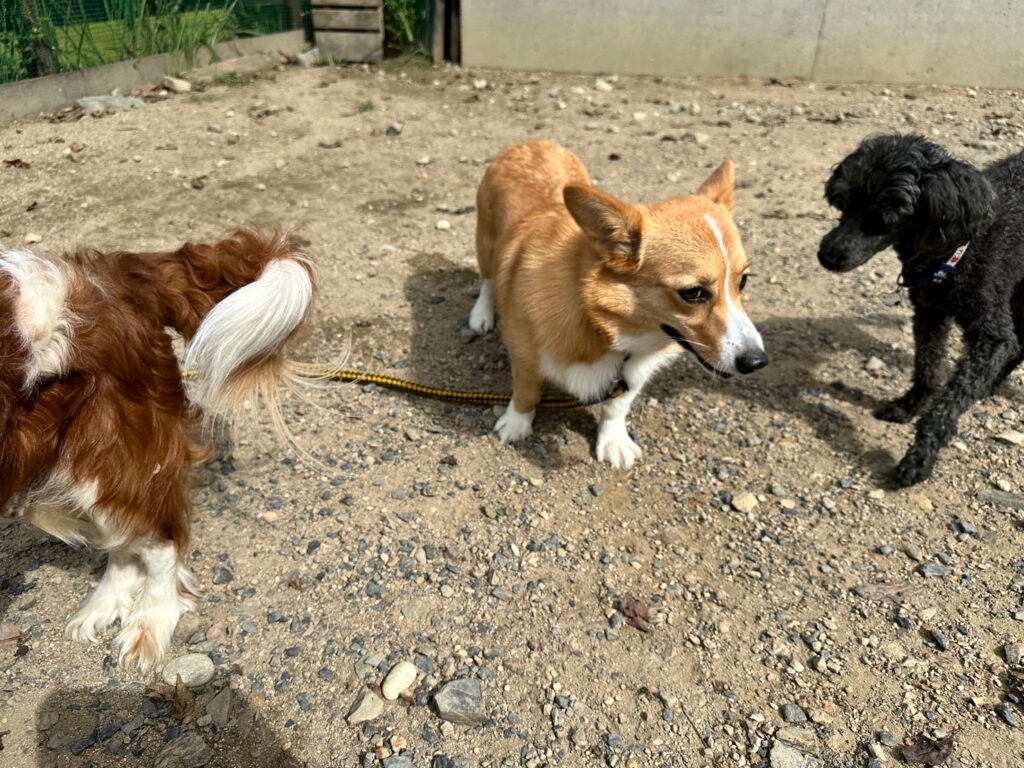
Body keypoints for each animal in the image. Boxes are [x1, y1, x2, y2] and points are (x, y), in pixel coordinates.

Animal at [0, 229, 313, 669]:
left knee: (157, 537)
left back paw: (150, 621)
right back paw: (104, 605)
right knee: (126, 538)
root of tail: (111, 273)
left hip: (109, 447)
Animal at [470, 140, 768, 468]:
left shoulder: (632, 372)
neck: (600, 322)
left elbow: (617, 407)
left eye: (743, 281)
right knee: (487, 281)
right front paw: (515, 425)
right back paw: (481, 315)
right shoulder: (524, 354)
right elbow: (526, 392)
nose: (757, 362)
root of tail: (532, 143)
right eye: (692, 292)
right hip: (486, 245)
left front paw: (614, 442)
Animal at [819, 133, 1017, 486]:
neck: (955, 251)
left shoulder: (990, 334)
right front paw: (908, 406)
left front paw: (920, 456)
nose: (826, 255)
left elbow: (947, 405)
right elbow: (926, 366)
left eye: (882, 219)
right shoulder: (929, 313)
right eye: (844, 204)